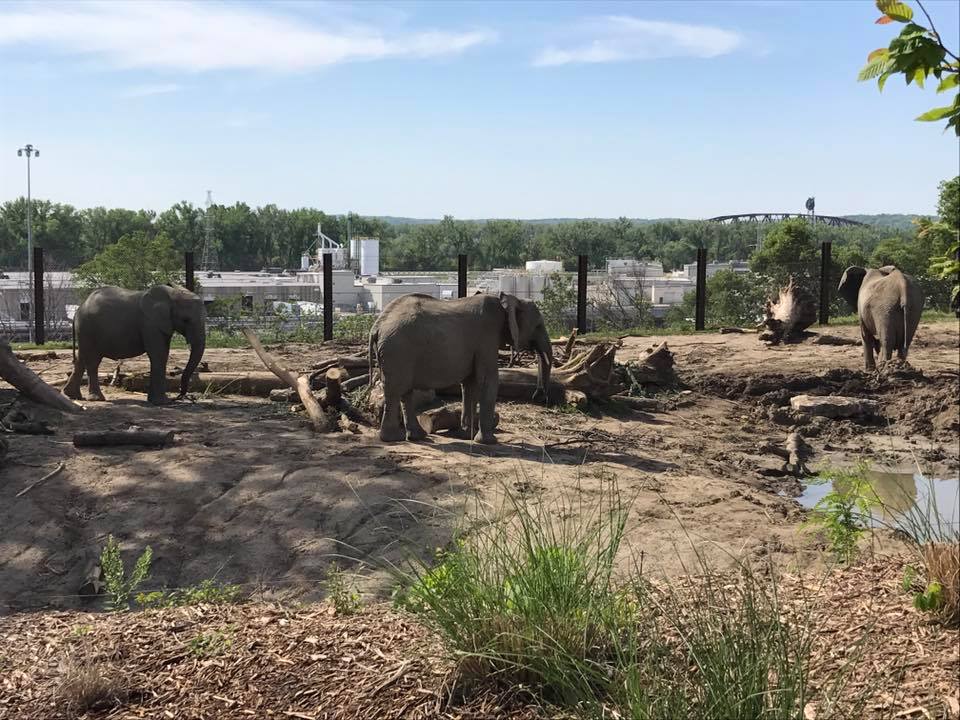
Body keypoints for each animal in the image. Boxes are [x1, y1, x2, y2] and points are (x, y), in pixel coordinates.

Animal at [63, 285, 207, 404]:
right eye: (186, 320)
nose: (179, 396)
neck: (172, 294)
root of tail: (79, 309)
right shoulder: (150, 323)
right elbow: (158, 355)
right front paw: (162, 402)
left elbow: (163, 354)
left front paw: (156, 401)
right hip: (89, 329)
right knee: (93, 361)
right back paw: (96, 399)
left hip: (85, 332)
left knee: (81, 358)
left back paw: (72, 396)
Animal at [368, 292, 552, 444]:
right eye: (538, 326)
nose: (539, 397)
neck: (507, 300)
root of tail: (376, 326)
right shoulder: (486, 339)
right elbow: (488, 380)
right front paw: (488, 442)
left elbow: (470, 385)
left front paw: (465, 435)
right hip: (398, 351)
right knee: (395, 390)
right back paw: (393, 439)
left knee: (404, 391)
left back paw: (417, 436)